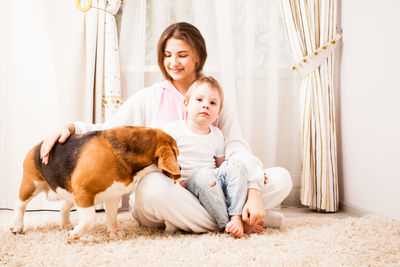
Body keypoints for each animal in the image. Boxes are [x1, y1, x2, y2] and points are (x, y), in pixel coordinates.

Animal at [10, 126, 183, 242]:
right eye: (176, 152)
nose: (180, 168)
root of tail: (38, 145)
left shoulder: (113, 195)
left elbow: (112, 217)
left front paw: (114, 232)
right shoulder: (84, 192)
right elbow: (90, 220)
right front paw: (74, 235)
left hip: (70, 192)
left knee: (63, 208)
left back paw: (66, 224)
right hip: (31, 185)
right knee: (20, 205)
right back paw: (17, 226)